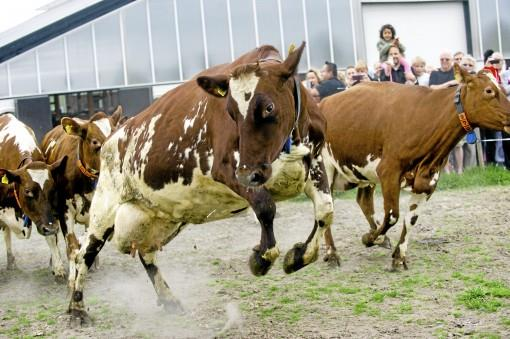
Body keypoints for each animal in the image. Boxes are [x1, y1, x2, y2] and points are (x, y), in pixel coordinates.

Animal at [0, 111, 67, 274]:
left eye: (53, 189)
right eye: (28, 191)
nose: (50, 227)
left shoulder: (48, 216)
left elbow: (51, 237)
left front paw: (58, 267)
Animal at [40, 107, 122, 286]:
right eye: (95, 142)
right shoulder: (64, 212)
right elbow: (72, 246)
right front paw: (71, 279)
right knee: (52, 239)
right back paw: (57, 267)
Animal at [65, 43, 332, 324]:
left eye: (268, 108)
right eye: (230, 113)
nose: (249, 174)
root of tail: (113, 137)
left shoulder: (314, 163)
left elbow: (326, 211)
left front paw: (298, 256)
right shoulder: (228, 169)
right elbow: (266, 206)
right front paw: (261, 258)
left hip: (163, 215)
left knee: (146, 252)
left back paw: (168, 298)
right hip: (105, 207)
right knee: (83, 253)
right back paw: (77, 308)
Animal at [318, 63, 510, 270]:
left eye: (502, 88)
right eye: (489, 91)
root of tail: (322, 103)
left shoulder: (428, 180)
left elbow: (410, 220)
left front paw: (399, 256)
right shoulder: (389, 171)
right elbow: (392, 216)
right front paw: (369, 238)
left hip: (363, 172)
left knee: (364, 201)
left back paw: (380, 238)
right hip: (325, 168)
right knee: (327, 207)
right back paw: (332, 253)